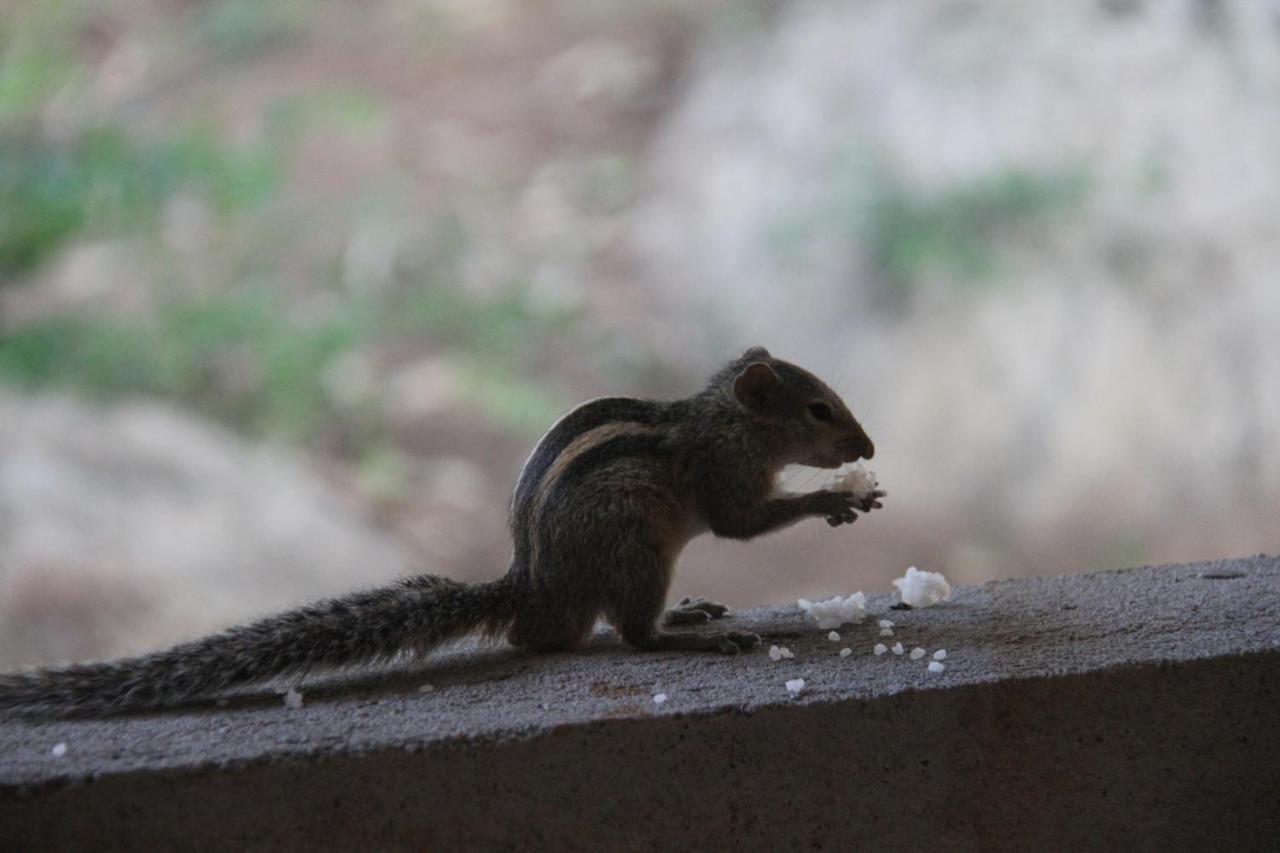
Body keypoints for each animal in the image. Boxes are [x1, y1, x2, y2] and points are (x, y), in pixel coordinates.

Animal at [0, 345, 880, 712]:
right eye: (818, 410)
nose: (868, 449)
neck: (724, 420)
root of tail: (532, 589)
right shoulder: (724, 478)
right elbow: (741, 524)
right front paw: (835, 500)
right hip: (634, 547)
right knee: (633, 634)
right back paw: (690, 630)